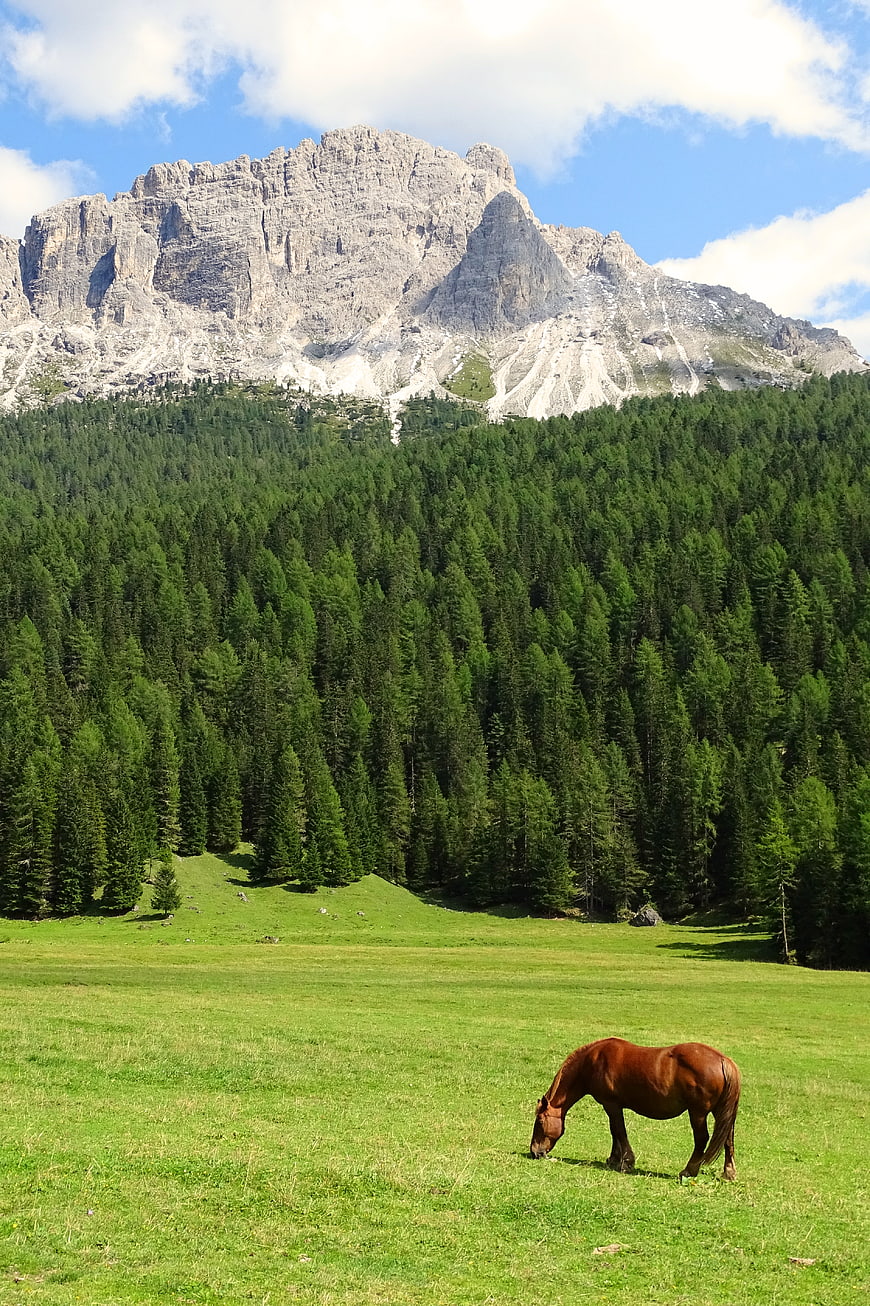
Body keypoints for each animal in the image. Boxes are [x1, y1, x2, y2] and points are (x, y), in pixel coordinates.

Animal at [530, 1037, 741, 1180]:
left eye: (540, 1122)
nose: (535, 1152)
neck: (592, 1061)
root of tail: (723, 1061)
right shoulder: (612, 1106)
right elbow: (615, 1132)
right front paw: (614, 1159)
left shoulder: (611, 1104)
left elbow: (619, 1131)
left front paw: (626, 1162)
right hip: (722, 1113)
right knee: (728, 1139)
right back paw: (728, 1173)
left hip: (697, 1113)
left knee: (702, 1139)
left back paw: (689, 1170)